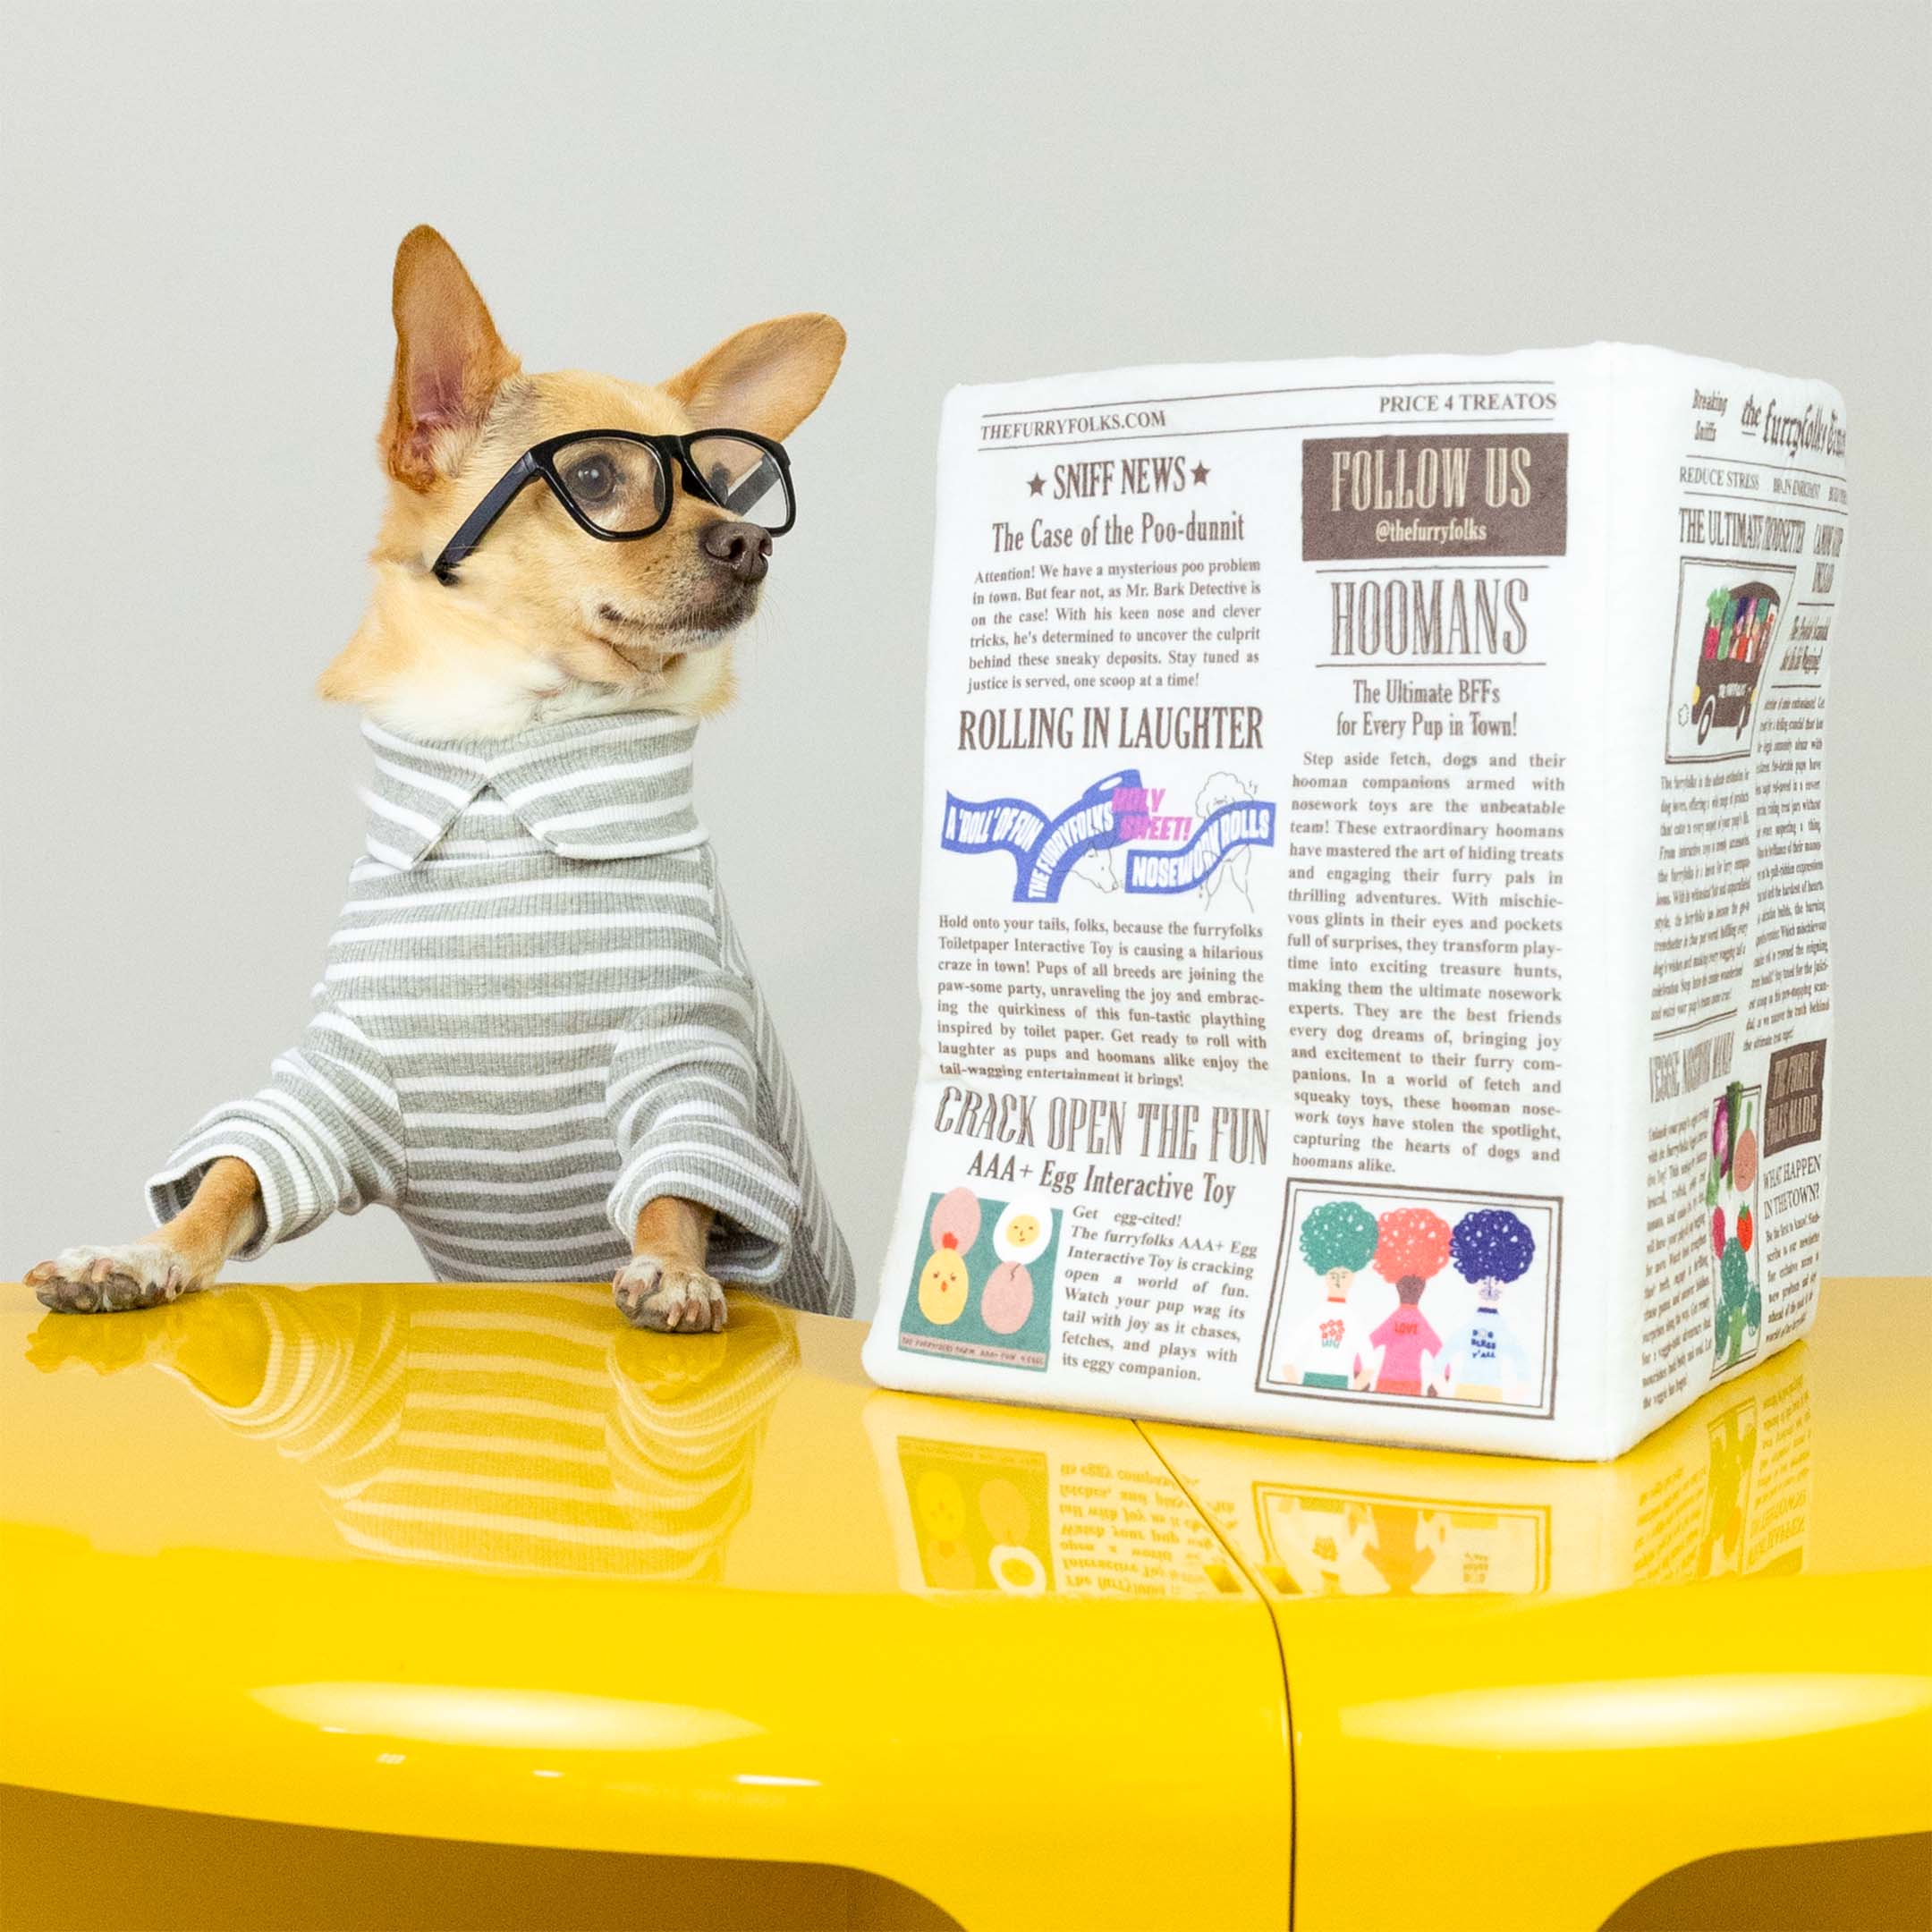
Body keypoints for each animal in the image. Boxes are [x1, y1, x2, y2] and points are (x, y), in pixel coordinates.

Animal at [24, 225, 853, 1329]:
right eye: (597, 475)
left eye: (722, 483)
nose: (753, 538)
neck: (510, 747)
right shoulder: (332, 1087)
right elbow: (233, 1173)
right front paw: (140, 1255)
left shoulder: (685, 1062)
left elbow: (678, 1187)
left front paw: (673, 1269)